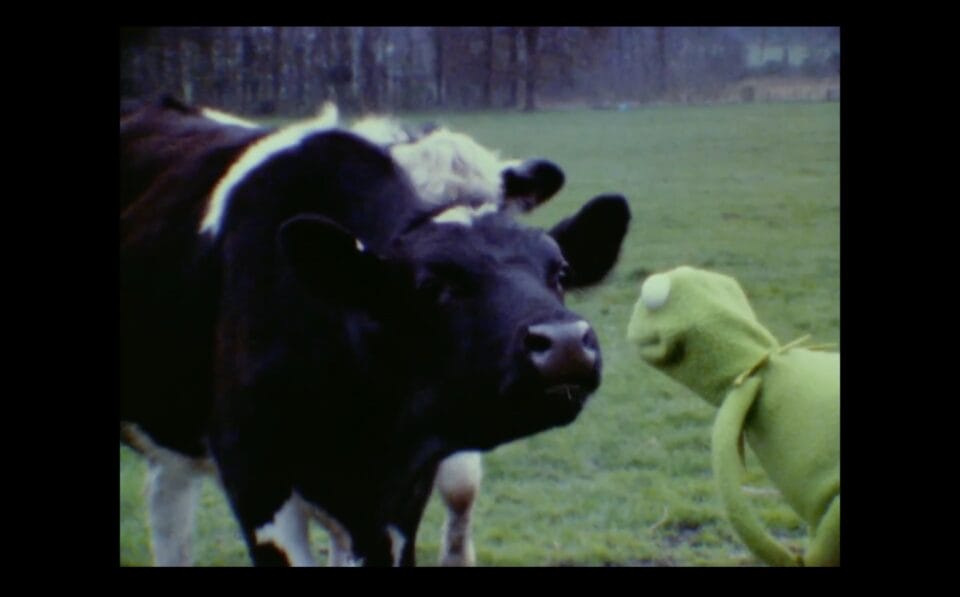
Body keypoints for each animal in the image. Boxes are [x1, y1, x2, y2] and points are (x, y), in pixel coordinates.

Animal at [120, 96, 631, 566]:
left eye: (560, 271)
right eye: (431, 284)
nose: (565, 343)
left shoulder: (402, 488)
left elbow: (458, 489)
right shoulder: (255, 475)